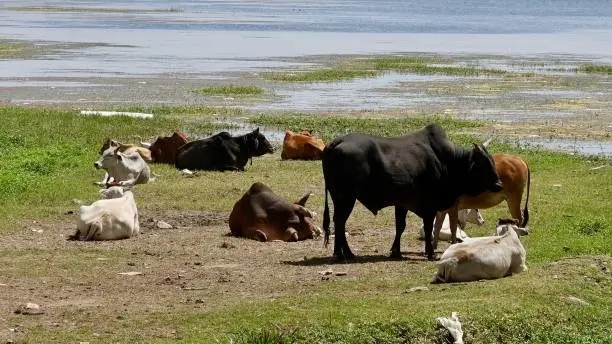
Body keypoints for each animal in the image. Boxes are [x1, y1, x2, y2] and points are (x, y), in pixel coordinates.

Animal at [320, 123, 502, 260]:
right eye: (484, 164)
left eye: (492, 161)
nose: (499, 184)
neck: (447, 162)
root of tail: (336, 142)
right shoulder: (429, 206)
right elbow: (429, 229)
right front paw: (430, 253)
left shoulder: (402, 203)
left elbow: (400, 226)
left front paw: (396, 252)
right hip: (346, 198)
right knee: (340, 222)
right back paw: (345, 254)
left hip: (340, 198)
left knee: (338, 222)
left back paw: (340, 253)